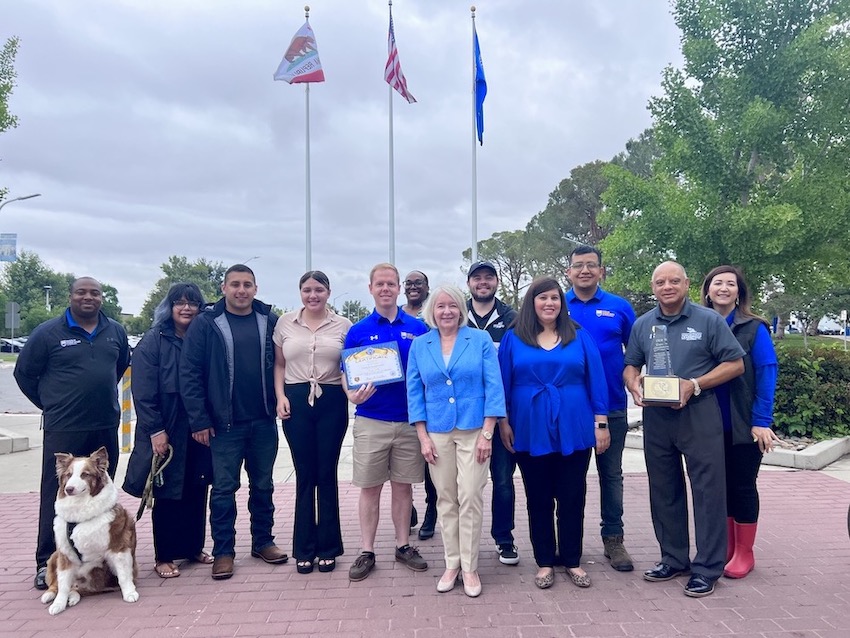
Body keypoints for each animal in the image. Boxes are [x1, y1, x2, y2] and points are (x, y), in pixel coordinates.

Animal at [40, 448, 138, 616]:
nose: (69, 489)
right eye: (68, 475)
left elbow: (124, 574)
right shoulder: (65, 554)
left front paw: (130, 593)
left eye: (85, 474)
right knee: (57, 585)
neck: (80, 514)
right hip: (54, 556)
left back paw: (73, 597)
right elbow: (63, 584)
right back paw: (49, 595)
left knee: (77, 589)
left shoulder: (118, 547)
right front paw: (58, 604)